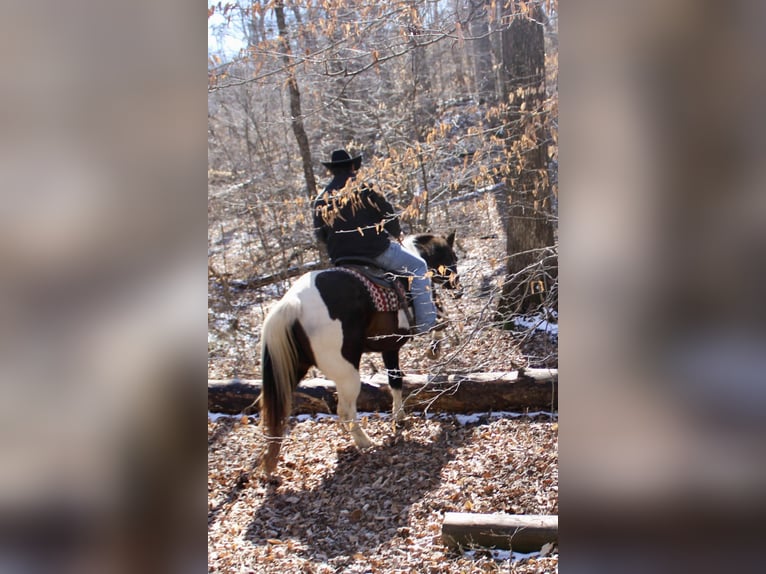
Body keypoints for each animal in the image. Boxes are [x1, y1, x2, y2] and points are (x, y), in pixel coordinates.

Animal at [258, 232, 462, 474]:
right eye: (452, 256)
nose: (458, 288)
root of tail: (292, 303)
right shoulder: (400, 338)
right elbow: (439, 321)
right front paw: (434, 350)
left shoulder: (389, 347)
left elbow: (394, 381)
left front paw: (399, 417)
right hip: (347, 374)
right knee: (345, 410)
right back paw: (364, 442)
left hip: (292, 369)